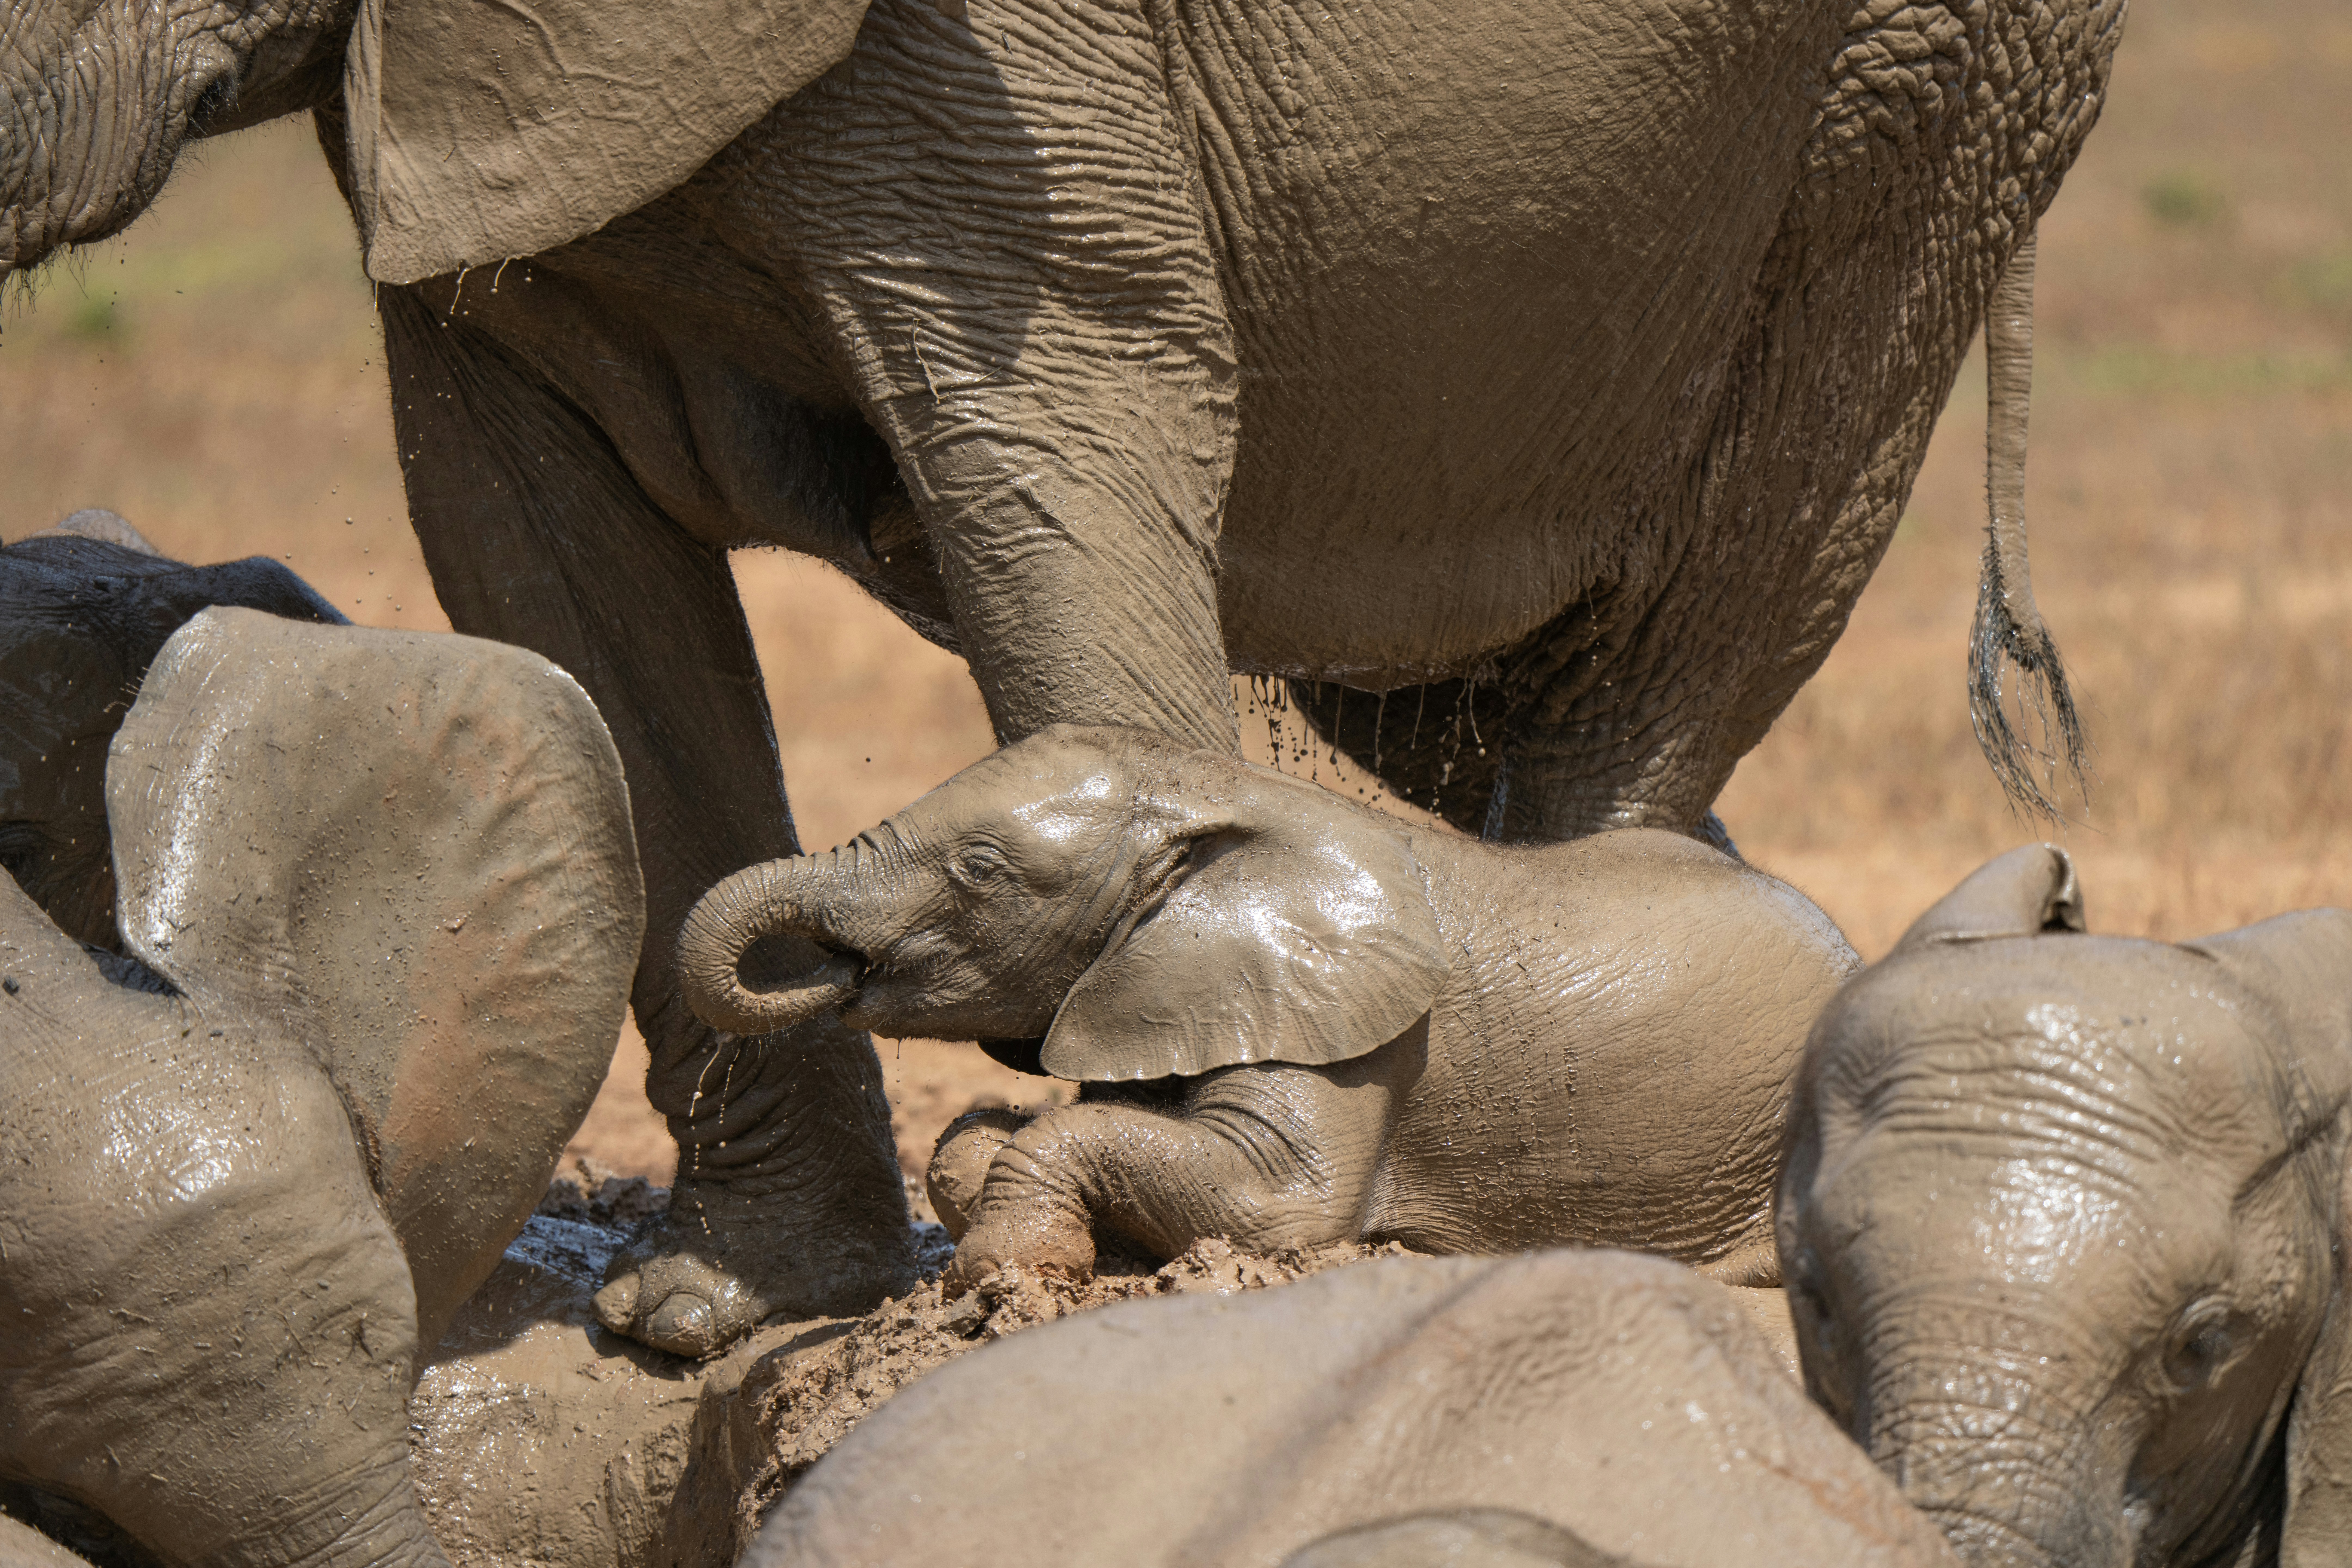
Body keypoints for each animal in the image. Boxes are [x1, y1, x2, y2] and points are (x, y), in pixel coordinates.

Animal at [678, 724, 1859, 1291]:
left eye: (978, 870)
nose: (830, 971)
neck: (1224, 792)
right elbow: (1002, 1129)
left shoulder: (1353, 1033)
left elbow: (1280, 1209)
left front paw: (1007, 1272)